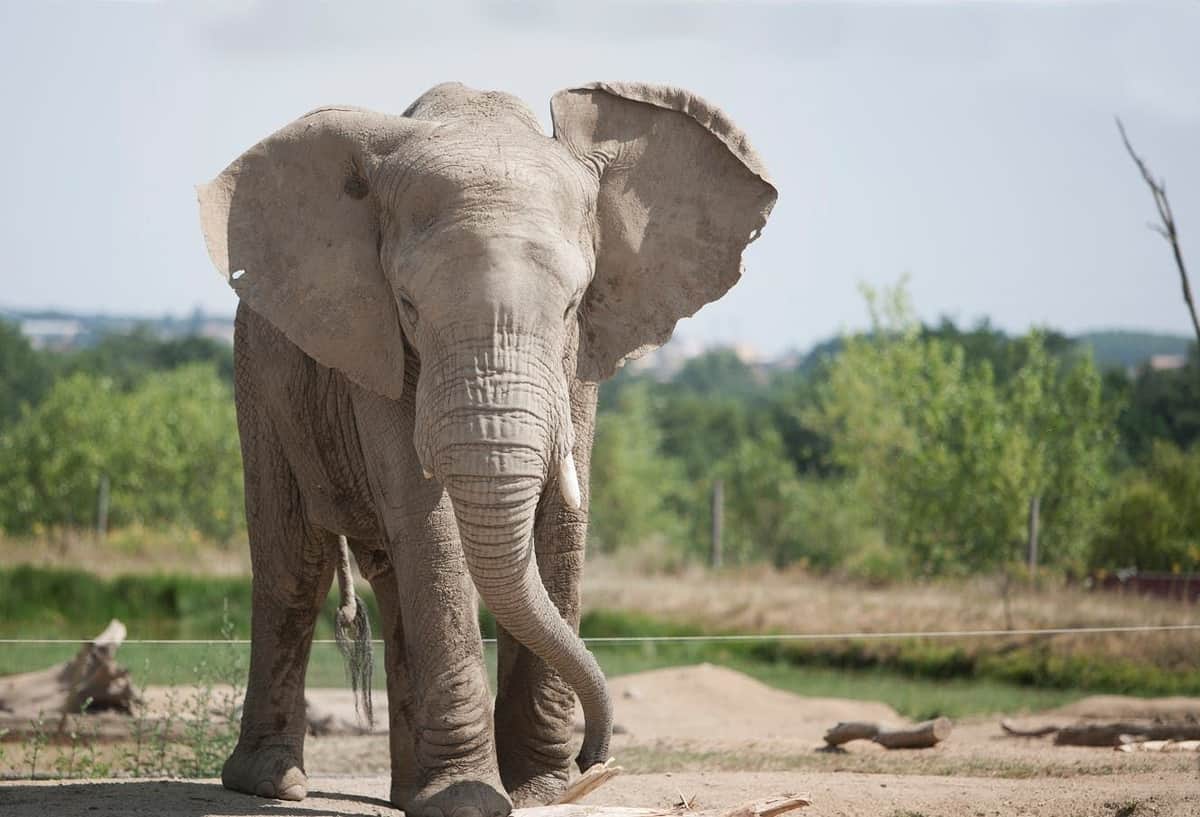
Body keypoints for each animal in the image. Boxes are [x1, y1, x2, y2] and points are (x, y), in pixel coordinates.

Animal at [196, 81, 776, 816]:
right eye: (409, 304)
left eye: (573, 305)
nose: (596, 764)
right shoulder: (374, 342)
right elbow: (428, 520)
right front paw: (472, 800)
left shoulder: (582, 358)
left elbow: (561, 523)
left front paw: (542, 790)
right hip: (257, 374)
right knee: (293, 563)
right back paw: (275, 783)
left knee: (386, 570)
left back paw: (407, 792)